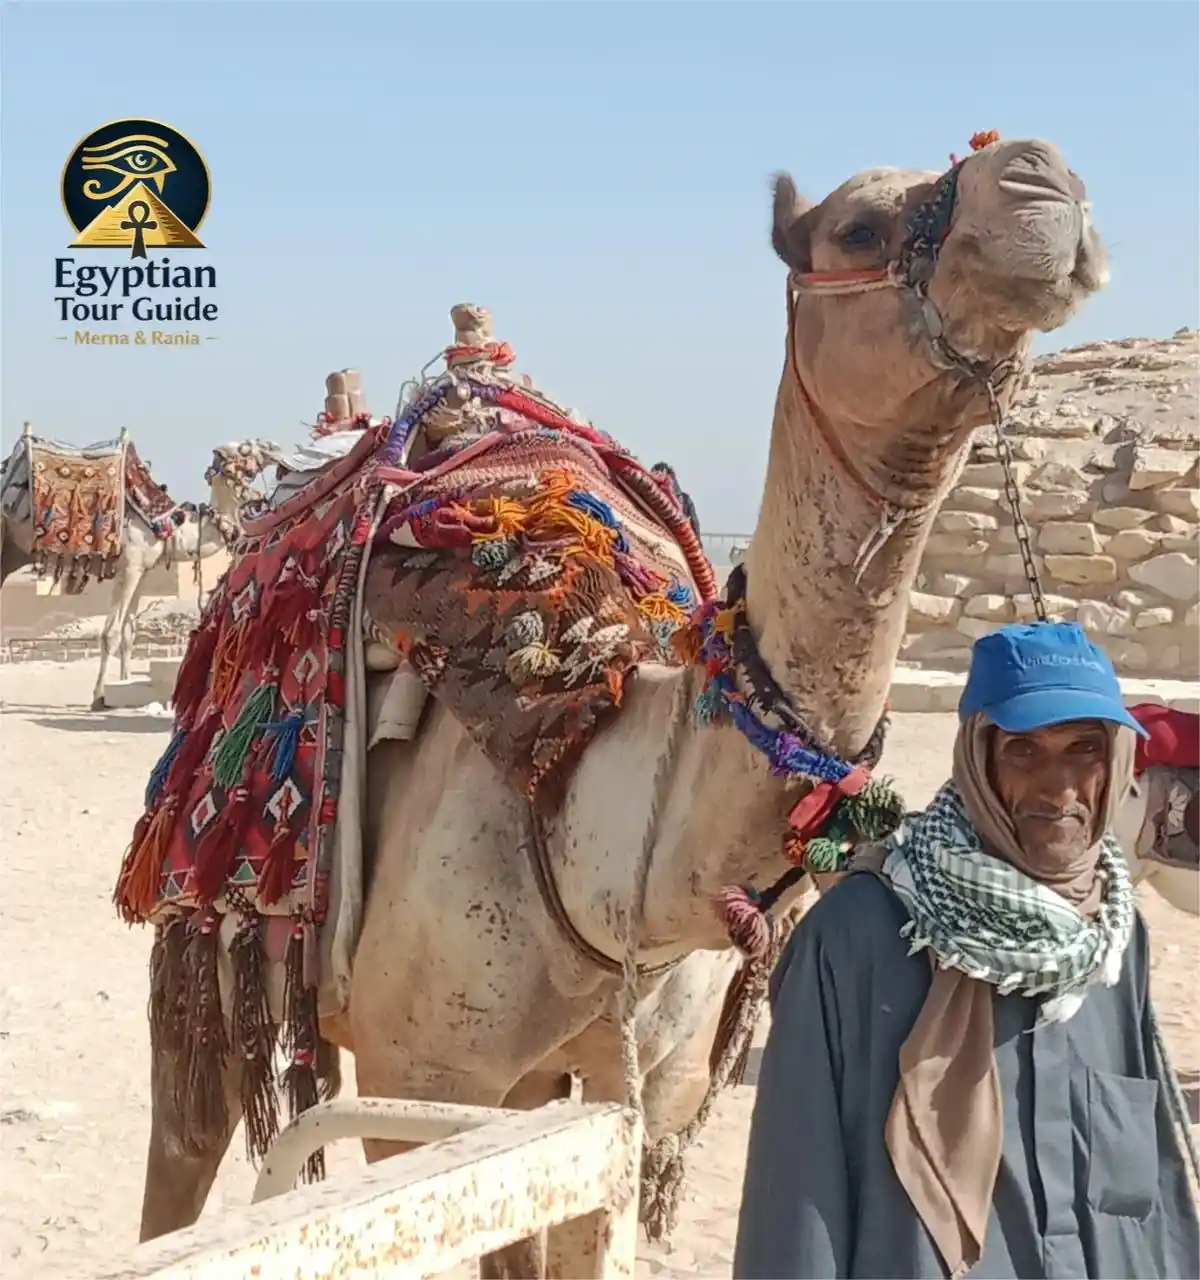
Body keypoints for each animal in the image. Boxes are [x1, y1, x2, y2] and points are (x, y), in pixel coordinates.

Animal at [0, 430, 279, 709]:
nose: (274, 447)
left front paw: (125, 682)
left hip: (11, 552)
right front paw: (98, 696)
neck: (167, 526)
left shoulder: (142, 572)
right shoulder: (129, 567)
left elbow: (128, 634)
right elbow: (111, 634)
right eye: (244, 449)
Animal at [136, 137, 1112, 1275]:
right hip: (210, 931)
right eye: (859, 227)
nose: (1044, 181)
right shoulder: (418, 1082)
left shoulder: (639, 1091)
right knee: (183, 1140)